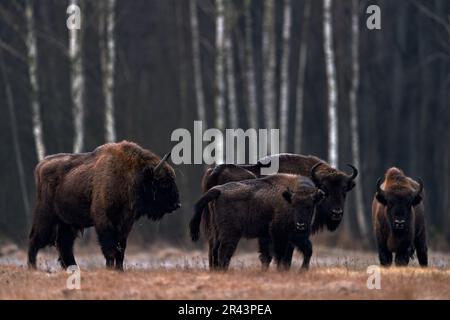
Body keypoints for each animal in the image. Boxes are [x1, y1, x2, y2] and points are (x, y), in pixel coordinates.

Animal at [27, 141, 179, 270]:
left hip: (67, 223)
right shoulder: (104, 221)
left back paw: (73, 268)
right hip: (46, 217)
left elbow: (121, 249)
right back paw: (32, 268)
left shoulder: (125, 223)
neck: (129, 175)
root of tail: (41, 165)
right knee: (35, 240)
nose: (177, 204)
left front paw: (119, 270)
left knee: (64, 245)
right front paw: (110, 268)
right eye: (163, 182)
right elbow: (110, 248)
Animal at [189, 174, 324, 272]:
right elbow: (280, 255)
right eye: (293, 205)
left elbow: (305, 250)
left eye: (310, 206)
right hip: (231, 234)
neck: (288, 199)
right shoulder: (280, 234)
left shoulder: (277, 236)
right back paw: (223, 271)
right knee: (223, 251)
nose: (300, 225)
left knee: (214, 249)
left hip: (217, 230)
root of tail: (218, 190)